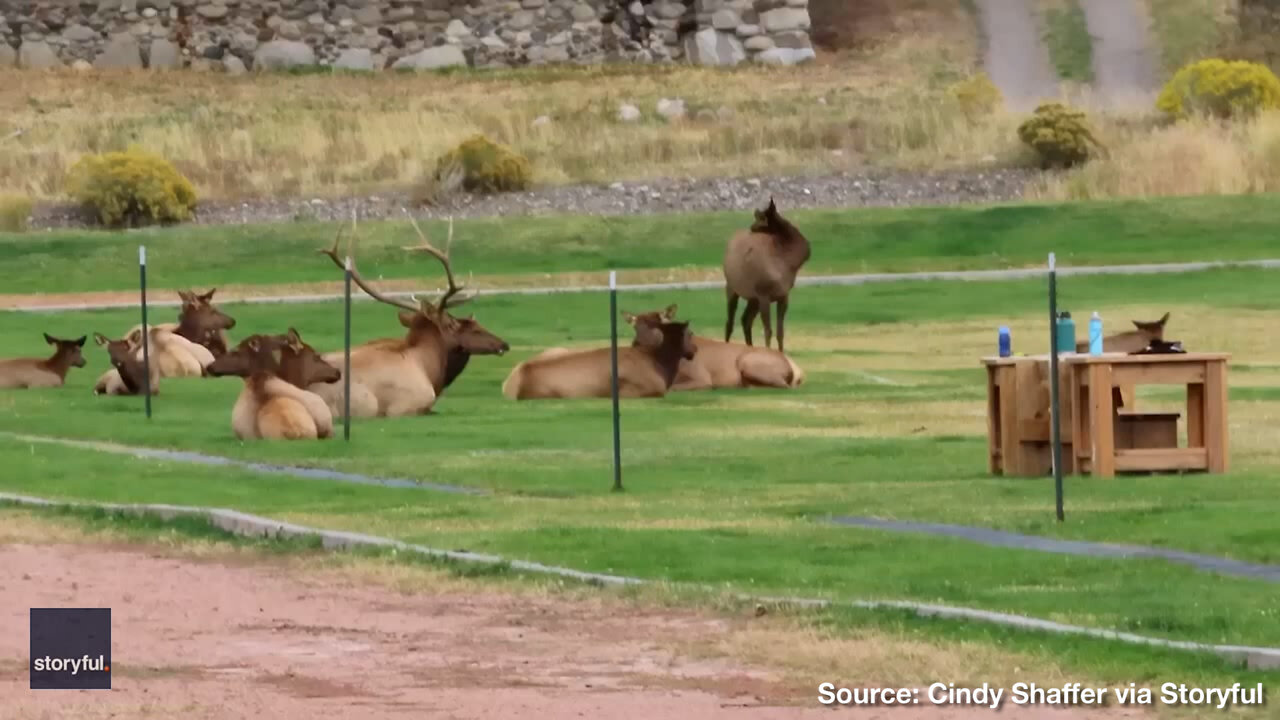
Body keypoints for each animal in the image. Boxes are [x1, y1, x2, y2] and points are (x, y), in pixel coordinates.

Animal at [619, 303, 798, 392]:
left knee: (784, 385)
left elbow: (673, 388)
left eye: (659, 325)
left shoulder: (702, 377)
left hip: (748, 362)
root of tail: (793, 368)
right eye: (636, 327)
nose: (637, 343)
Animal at [721, 196, 808, 353]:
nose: (750, 228)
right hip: (732, 288)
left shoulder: (783, 296)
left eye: (761, 217)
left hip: (752, 299)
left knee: (745, 320)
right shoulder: (763, 294)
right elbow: (768, 331)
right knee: (729, 323)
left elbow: (780, 332)